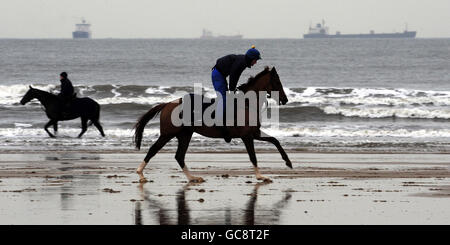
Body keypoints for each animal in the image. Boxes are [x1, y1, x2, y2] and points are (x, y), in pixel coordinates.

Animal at [134, 66, 292, 183]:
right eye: (277, 82)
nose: (285, 99)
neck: (247, 103)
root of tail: (167, 104)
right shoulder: (246, 136)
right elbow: (253, 156)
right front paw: (260, 176)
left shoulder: (254, 133)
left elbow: (275, 140)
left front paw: (288, 162)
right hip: (168, 133)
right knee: (153, 150)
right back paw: (140, 174)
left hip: (185, 134)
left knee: (179, 156)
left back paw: (193, 178)